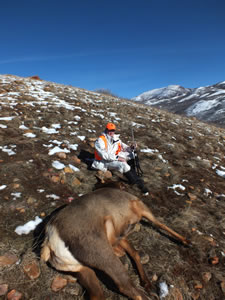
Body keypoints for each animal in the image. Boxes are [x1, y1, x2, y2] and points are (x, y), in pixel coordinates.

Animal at [41, 186, 189, 298]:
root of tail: (50, 241)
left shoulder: (120, 235)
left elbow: (134, 253)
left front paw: (146, 282)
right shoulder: (141, 210)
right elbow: (161, 224)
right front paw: (186, 241)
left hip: (82, 269)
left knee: (98, 294)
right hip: (104, 256)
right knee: (127, 288)